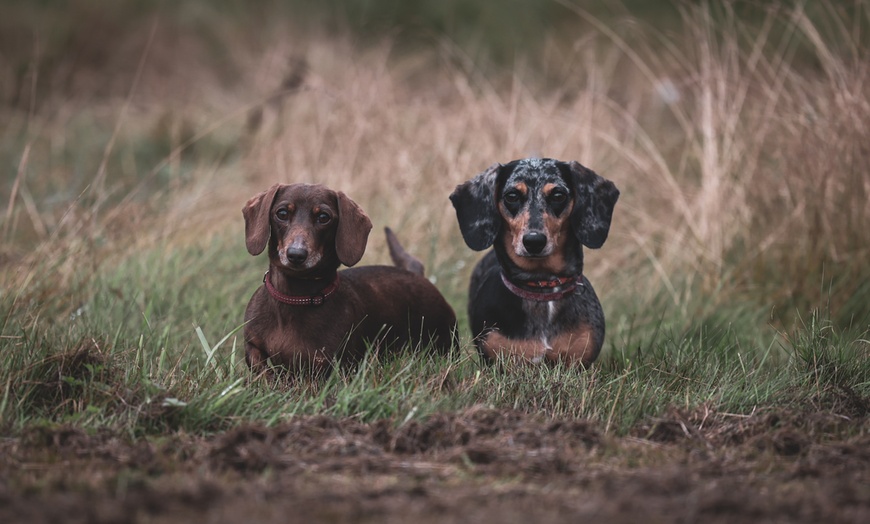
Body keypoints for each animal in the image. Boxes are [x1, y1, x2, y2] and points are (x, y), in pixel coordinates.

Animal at [240, 184, 456, 376]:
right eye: (282, 213)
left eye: (323, 217)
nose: (296, 254)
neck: (296, 298)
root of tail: (417, 274)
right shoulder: (252, 346)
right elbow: (261, 369)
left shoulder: (328, 365)